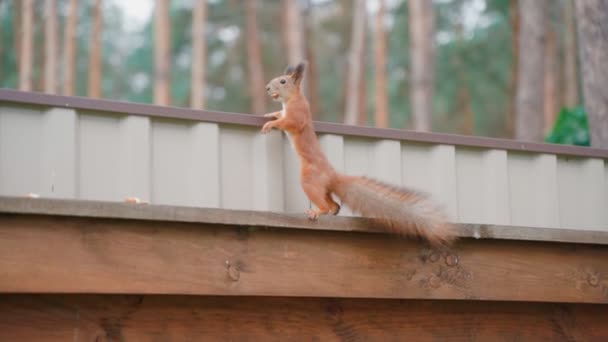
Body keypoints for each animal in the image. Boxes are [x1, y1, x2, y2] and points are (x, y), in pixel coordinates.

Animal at [262, 62, 456, 246]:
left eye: (283, 81)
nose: (267, 88)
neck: (293, 98)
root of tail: (333, 175)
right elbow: (279, 114)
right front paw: (270, 114)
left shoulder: (297, 114)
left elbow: (288, 122)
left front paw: (270, 124)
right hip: (324, 188)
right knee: (335, 204)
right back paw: (330, 211)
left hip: (310, 180)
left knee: (324, 203)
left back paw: (317, 211)